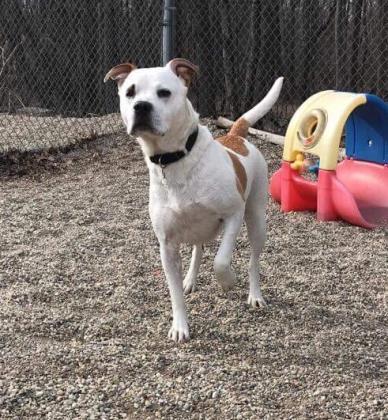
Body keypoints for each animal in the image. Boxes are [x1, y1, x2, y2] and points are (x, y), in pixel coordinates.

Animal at [104, 58, 284, 342]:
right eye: (130, 92)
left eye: (164, 92)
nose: (141, 106)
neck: (174, 159)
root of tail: (236, 135)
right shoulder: (166, 245)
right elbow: (174, 291)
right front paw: (180, 326)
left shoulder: (233, 215)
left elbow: (221, 261)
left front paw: (228, 281)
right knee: (198, 248)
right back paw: (190, 279)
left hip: (256, 219)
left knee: (254, 261)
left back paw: (254, 295)